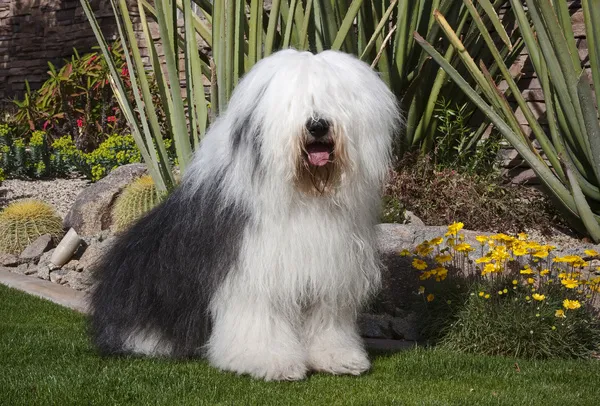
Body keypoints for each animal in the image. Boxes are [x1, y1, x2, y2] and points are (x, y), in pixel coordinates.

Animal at [90, 48, 398, 380]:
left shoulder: (328, 276)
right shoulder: (253, 272)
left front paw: (337, 357)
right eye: (292, 102)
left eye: (335, 98)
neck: (304, 194)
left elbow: (326, 320)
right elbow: (261, 318)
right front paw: (271, 361)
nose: (317, 125)